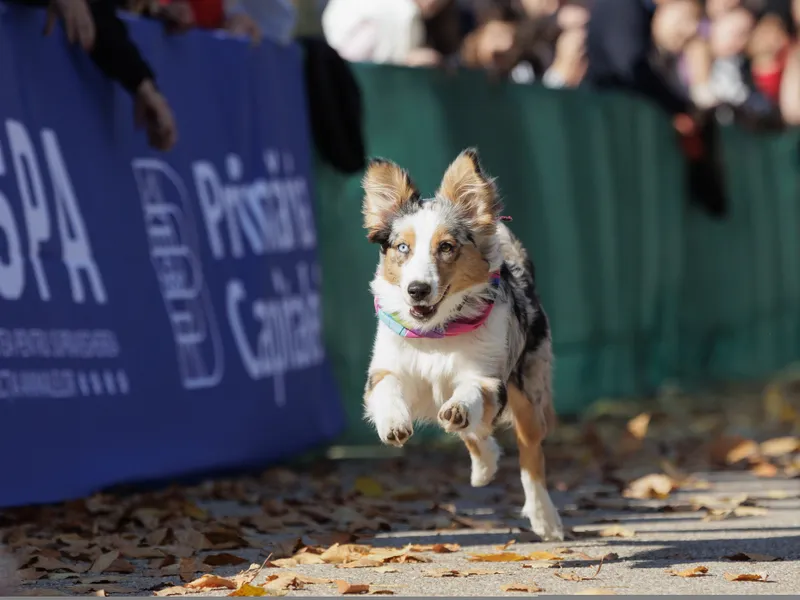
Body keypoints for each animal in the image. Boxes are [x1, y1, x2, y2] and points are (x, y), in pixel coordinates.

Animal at [360, 148, 564, 540]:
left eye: (446, 247)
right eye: (403, 247)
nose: (417, 290)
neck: (435, 334)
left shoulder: (489, 377)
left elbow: (471, 394)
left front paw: (459, 409)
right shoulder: (387, 367)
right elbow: (388, 388)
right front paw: (393, 423)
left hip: (528, 390)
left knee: (530, 454)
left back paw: (545, 518)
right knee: (475, 433)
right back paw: (484, 466)